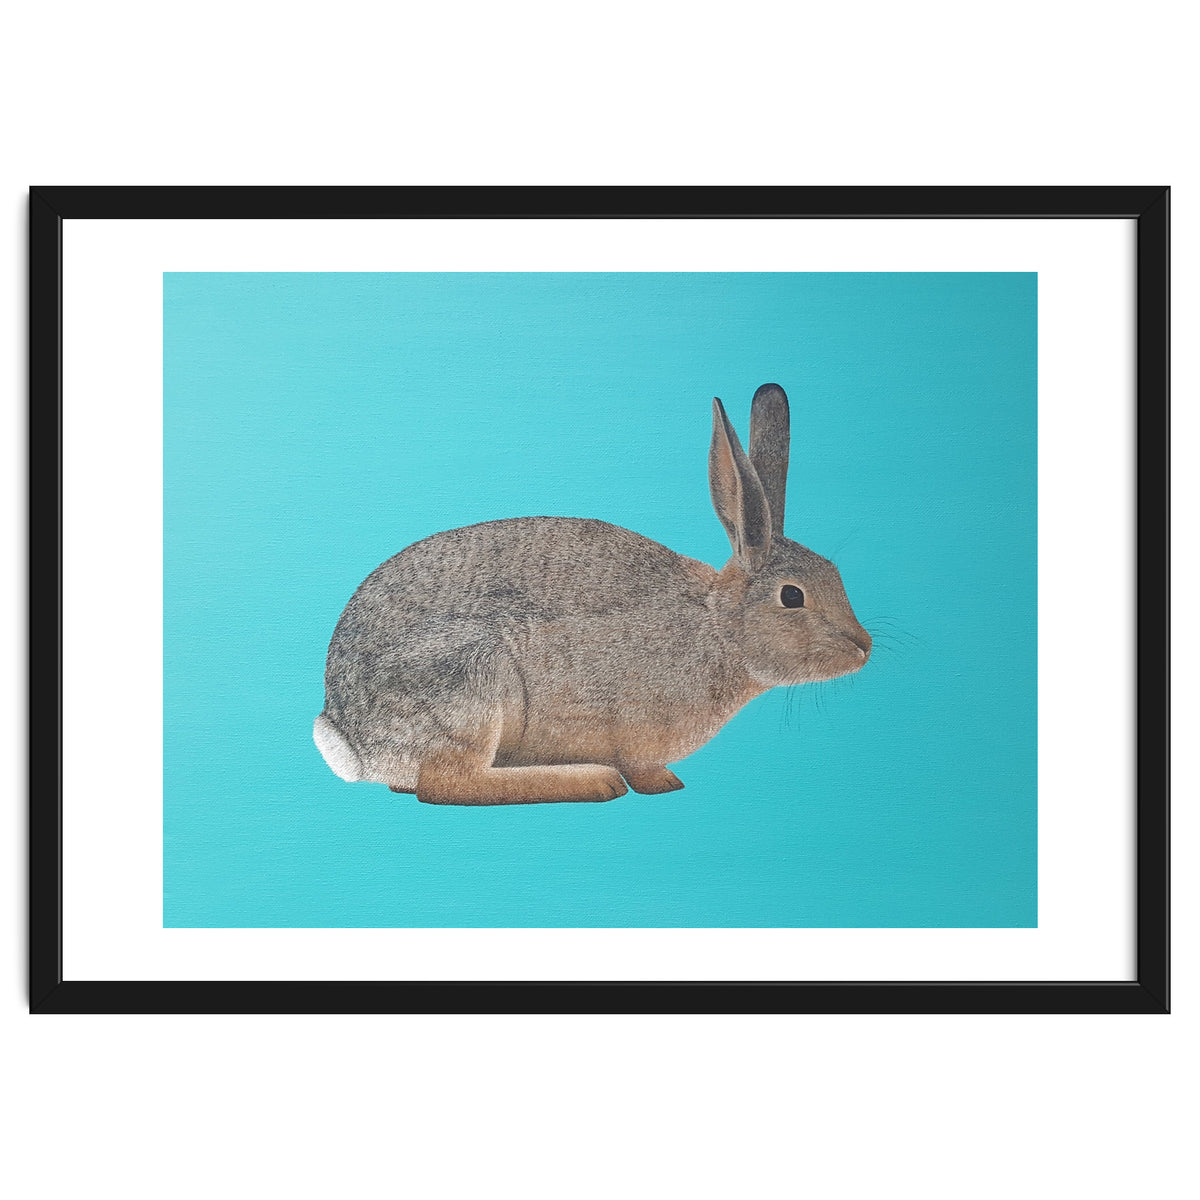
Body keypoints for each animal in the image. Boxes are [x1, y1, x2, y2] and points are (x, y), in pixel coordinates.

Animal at [314, 383, 871, 804]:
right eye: (792, 597)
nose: (863, 647)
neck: (718, 627)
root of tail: (350, 737)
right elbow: (643, 769)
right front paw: (662, 784)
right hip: (471, 679)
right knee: (447, 784)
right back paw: (593, 780)